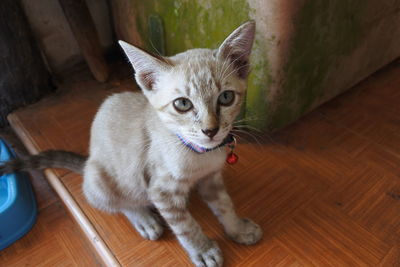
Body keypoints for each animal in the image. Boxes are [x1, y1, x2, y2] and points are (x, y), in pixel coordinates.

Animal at [0, 21, 262, 267]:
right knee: (117, 202)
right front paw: (203, 250)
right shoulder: (160, 190)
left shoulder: (211, 178)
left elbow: (225, 205)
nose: (210, 130)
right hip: (101, 181)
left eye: (226, 97)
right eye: (183, 104)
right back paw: (144, 219)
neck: (200, 155)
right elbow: (185, 225)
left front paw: (238, 229)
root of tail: (87, 163)